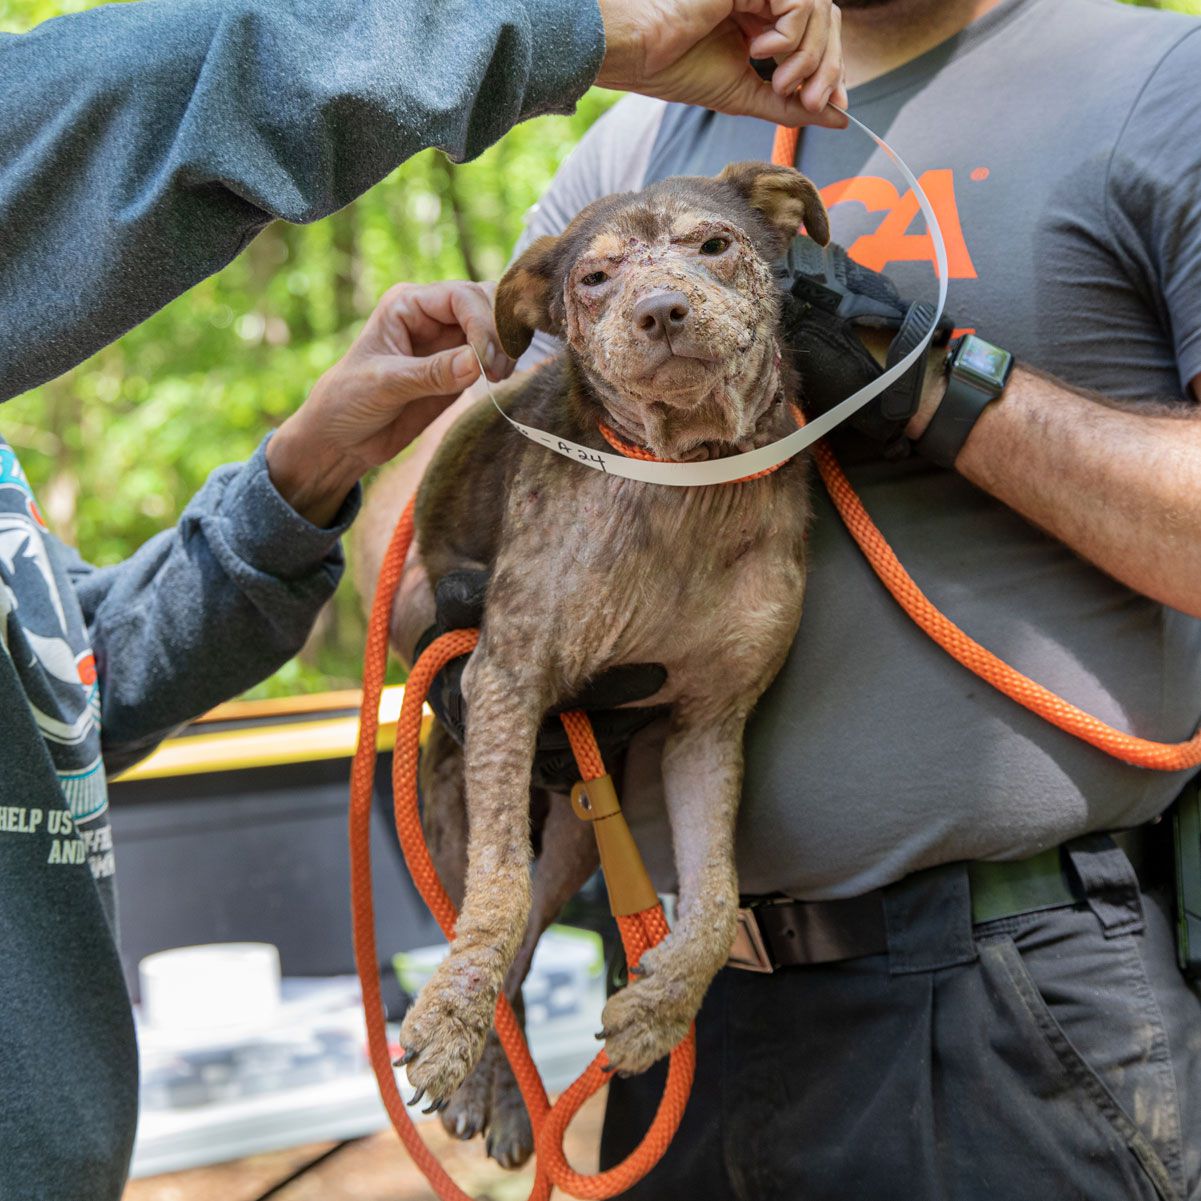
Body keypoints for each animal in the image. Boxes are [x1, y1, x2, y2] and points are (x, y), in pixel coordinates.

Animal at [355, 159, 826, 1162]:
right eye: (594, 278)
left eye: (713, 245)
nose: (658, 310)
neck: (684, 480)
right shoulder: (503, 681)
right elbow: (492, 898)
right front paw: (447, 1025)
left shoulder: (708, 727)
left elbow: (715, 896)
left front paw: (661, 1008)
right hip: (457, 802)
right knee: (491, 918)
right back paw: (483, 1075)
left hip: (573, 836)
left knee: (528, 945)